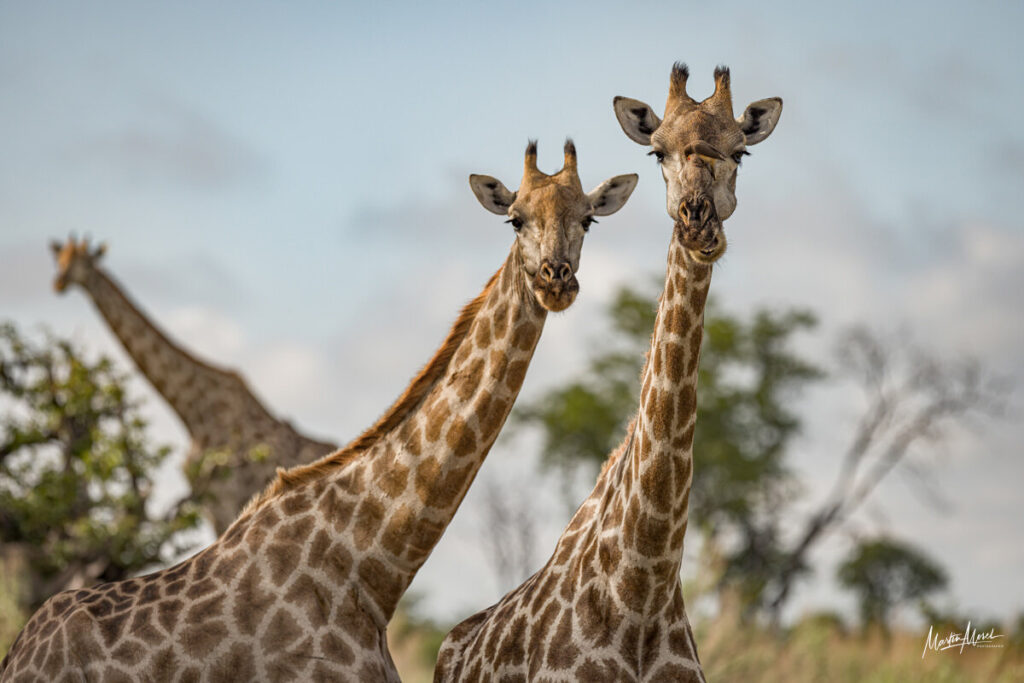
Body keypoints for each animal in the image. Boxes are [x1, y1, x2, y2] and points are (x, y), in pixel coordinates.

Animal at [48, 237, 338, 536]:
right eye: (59, 259)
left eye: (86, 262)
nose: (59, 282)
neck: (192, 413)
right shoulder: (208, 503)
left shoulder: (224, 497)